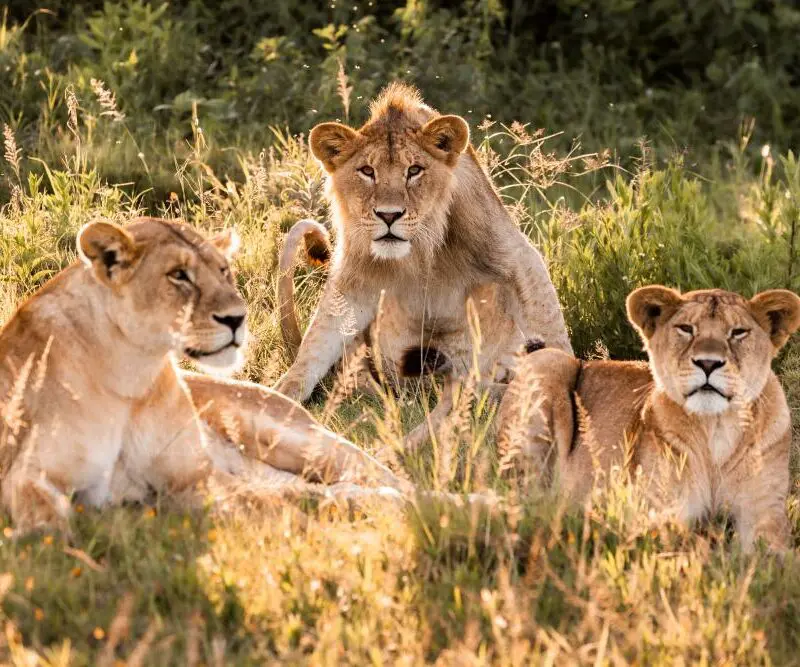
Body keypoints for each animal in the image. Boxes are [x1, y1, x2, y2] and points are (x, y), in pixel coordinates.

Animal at [0, 217, 405, 534]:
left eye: (223, 271)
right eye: (179, 276)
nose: (237, 318)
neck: (133, 375)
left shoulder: (197, 474)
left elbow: (271, 506)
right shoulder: (27, 473)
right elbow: (45, 522)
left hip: (291, 436)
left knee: (387, 479)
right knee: (325, 490)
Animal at [276, 83, 572, 446]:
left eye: (414, 170)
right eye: (367, 171)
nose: (389, 216)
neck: (417, 252)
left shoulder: (515, 254)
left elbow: (548, 320)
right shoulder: (354, 279)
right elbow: (316, 343)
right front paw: (276, 394)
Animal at [497, 285, 800, 552]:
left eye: (738, 332)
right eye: (686, 329)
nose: (708, 363)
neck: (715, 429)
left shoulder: (765, 515)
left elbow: (770, 556)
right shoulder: (655, 510)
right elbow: (689, 543)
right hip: (549, 364)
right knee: (526, 498)